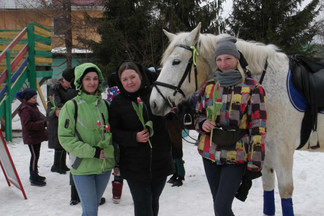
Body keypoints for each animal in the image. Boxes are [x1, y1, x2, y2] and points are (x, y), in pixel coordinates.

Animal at [149, 22, 324, 215]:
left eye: (176, 61)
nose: (153, 103)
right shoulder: (266, 152)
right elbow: (268, 188)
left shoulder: (283, 150)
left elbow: (285, 190)